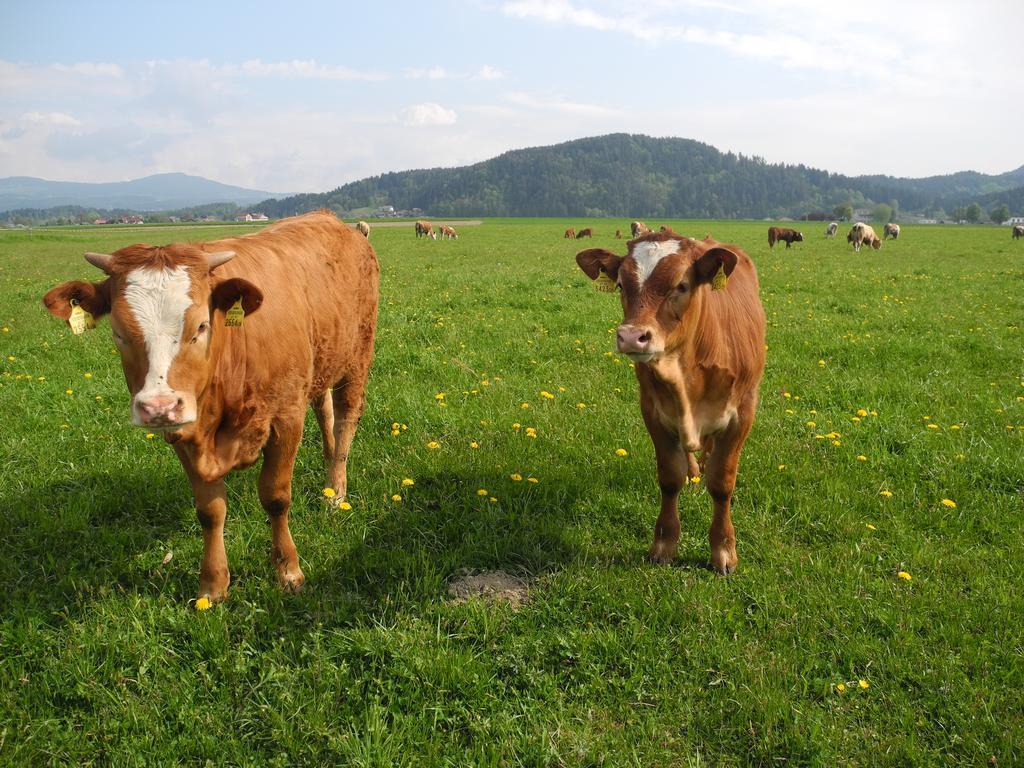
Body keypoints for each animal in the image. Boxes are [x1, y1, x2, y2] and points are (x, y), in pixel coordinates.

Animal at [41, 211, 380, 606]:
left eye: (201, 325)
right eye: (118, 333)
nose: (158, 406)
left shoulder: (286, 418)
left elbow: (276, 497)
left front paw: (288, 570)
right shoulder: (184, 433)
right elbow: (210, 511)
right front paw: (214, 584)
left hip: (357, 356)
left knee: (345, 421)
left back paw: (336, 491)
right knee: (324, 409)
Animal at [573, 231, 765, 573]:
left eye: (681, 285)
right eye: (620, 285)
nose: (632, 336)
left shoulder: (743, 413)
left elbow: (722, 482)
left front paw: (724, 550)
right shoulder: (653, 412)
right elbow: (670, 477)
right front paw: (664, 544)